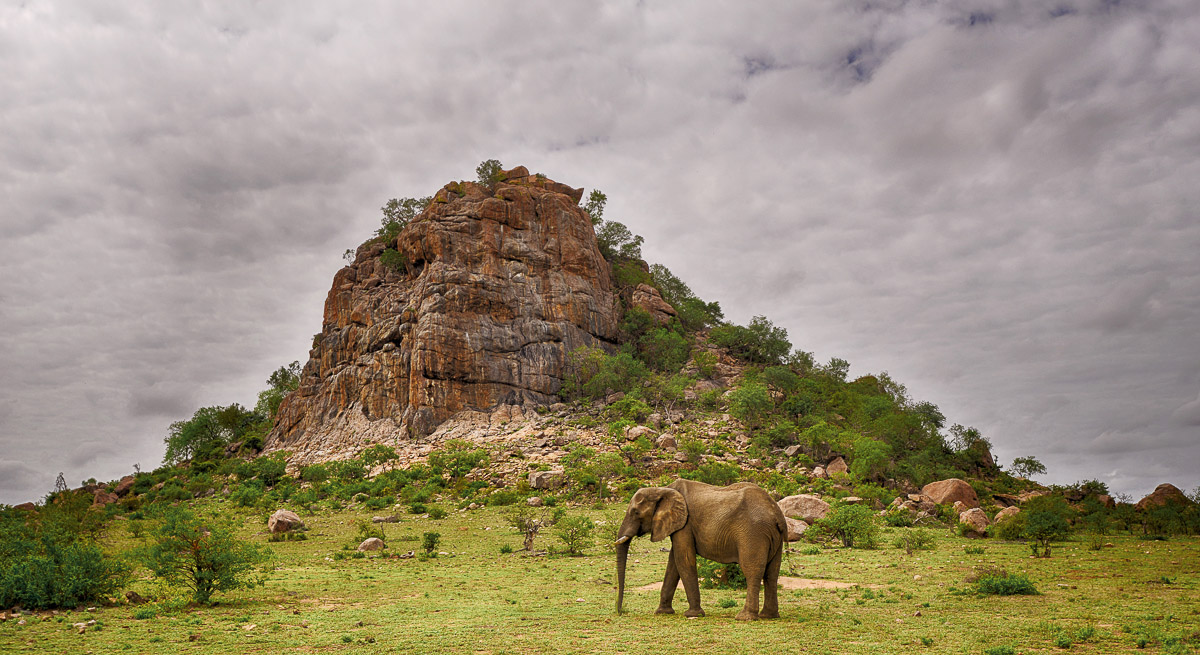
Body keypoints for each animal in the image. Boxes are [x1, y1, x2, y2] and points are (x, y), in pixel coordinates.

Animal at [615, 479, 787, 621]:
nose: (620, 611)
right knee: (772, 573)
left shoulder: (685, 524)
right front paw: (663, 612)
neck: (662, 490)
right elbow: (673, 563)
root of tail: (777, 514)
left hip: (753, 533)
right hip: (773, 538)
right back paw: (768, 616)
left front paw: (693, 614)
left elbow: (683, 559)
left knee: (752, 570)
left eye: (636, 512)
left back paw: (744, 617)